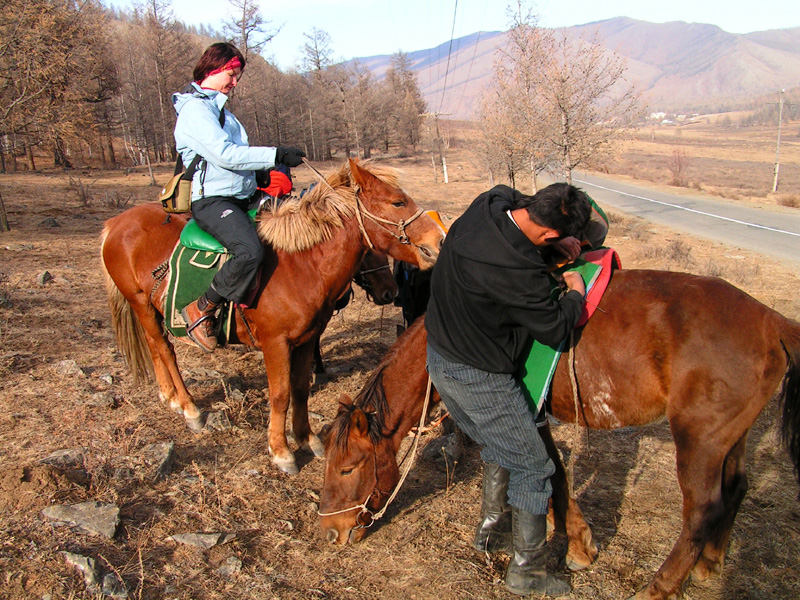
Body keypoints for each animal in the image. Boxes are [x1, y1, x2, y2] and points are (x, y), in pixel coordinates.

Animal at [100, 159, 444, 474]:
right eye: (397, 202)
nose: (438, 241)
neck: (301, 265)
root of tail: (115, 224)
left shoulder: (306, 340)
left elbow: (300, 389)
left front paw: (307, 439)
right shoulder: (275, 343)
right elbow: (280, 395)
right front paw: (281, 452)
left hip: (145, 309)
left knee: (155, 347)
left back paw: (169, 395)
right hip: (141, 303)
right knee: (164, 350)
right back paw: (189, 408)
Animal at [318, 270, 800, 600]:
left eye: (348, 468)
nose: (332, 531)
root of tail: (772, 321)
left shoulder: (524, 415)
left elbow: (550, 473)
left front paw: (576, 545)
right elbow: (549, 474)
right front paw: (575, 540)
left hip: (699, 440)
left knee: (702, 510)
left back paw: (659, 586)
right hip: (729, 439)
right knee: (737, 488)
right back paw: (710, 563)